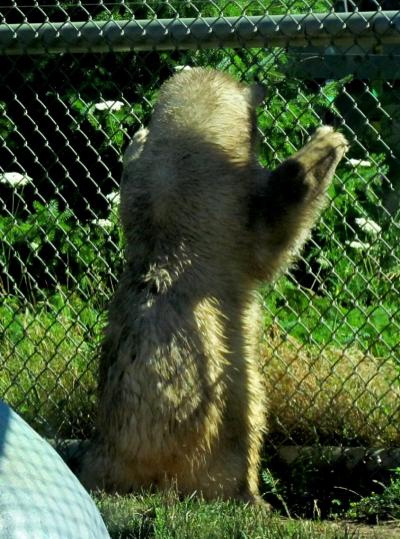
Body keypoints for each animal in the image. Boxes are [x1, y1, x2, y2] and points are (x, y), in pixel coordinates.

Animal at [79, 66, 348, 502]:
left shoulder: (145, 189)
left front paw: (137, 137)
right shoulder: (228, 208)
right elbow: (270, 240)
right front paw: (325, 143)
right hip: (222, 406)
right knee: (245, 422)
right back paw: (251, 495)